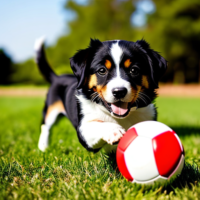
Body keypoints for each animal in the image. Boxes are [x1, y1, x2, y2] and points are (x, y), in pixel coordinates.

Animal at [34, 37, 167, 153]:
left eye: (134, 70)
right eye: (102, 70)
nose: (119, 91)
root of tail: (57, 77)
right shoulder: (83, 130)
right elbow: (98, 125)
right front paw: (114, 131)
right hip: (50, 110)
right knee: (45, 126)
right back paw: (43, 147)